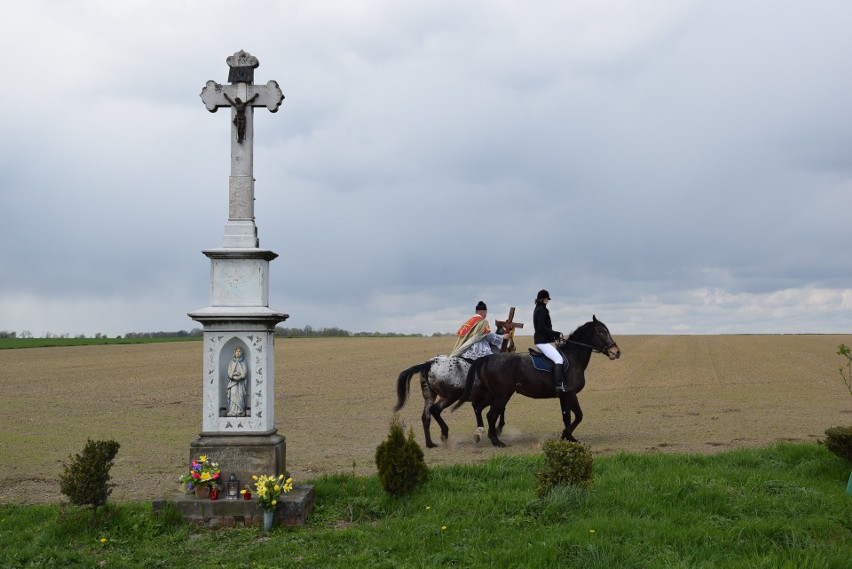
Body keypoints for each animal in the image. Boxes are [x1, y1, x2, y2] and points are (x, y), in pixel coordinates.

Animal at [452, 318, 620, 446]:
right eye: (601, 332)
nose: (616, 352)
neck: (573, 359)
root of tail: (488, 358)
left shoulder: (564, 396)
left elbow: (566, 417)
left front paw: (569, 438)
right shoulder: (571, 394)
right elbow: (579, 416)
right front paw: (564, 435)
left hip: (492, 395)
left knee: (478, 407)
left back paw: (479, 434)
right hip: (502, 396)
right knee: (491, 415)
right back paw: (496, 441)